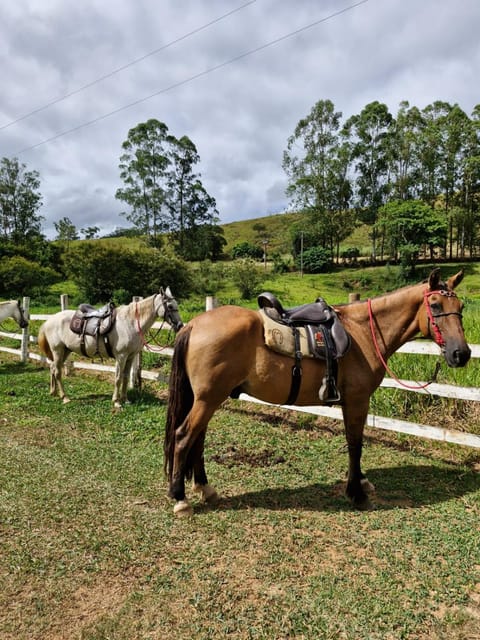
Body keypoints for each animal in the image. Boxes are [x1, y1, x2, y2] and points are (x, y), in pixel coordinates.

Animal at [38, 287, 183, 408]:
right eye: (170, 306)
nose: (180, 325)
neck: (130, 323)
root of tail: (49, 320)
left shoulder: (130, 356)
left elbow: (125, 377)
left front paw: (125, 400)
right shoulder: (121, 356)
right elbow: (118, 378)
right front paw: (116, 402)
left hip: (66, 351)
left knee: (53, 368)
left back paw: (53, 392)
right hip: (58, 350)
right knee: (57, 371)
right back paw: (65, 397)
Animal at [164, 269, 471, 517]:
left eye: (461, 305)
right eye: (435, 304)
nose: (462, 354)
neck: (362, 332)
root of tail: (194, 324)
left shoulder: (355, 401)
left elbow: (355, 441)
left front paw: (360, 482)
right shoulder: (357, 400)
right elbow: (355, 443)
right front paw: (356, 493)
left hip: (208, 399)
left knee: (198, 440)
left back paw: (205, 489)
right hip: (207, 399)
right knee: (184, 436)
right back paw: (180, 499)